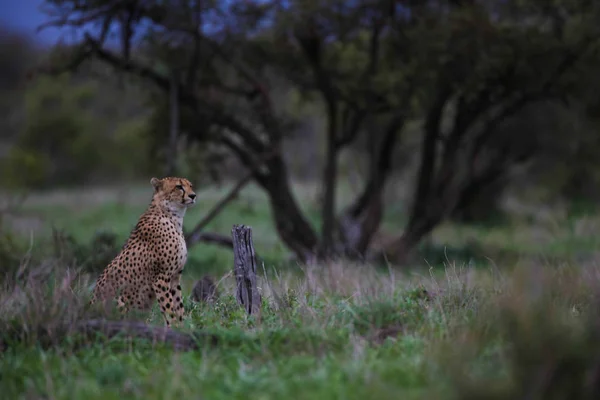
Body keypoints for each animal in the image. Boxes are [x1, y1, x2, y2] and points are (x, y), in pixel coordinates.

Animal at [90, 177, 197, 326]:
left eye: (190, 186)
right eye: (179, 187)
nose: (193, 195)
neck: (172, 216)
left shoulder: (175, 276)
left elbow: (179, 306)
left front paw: (183, 327)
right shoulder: (160, 277)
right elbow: (169, 308)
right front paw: (173, 327)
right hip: (119, 301)